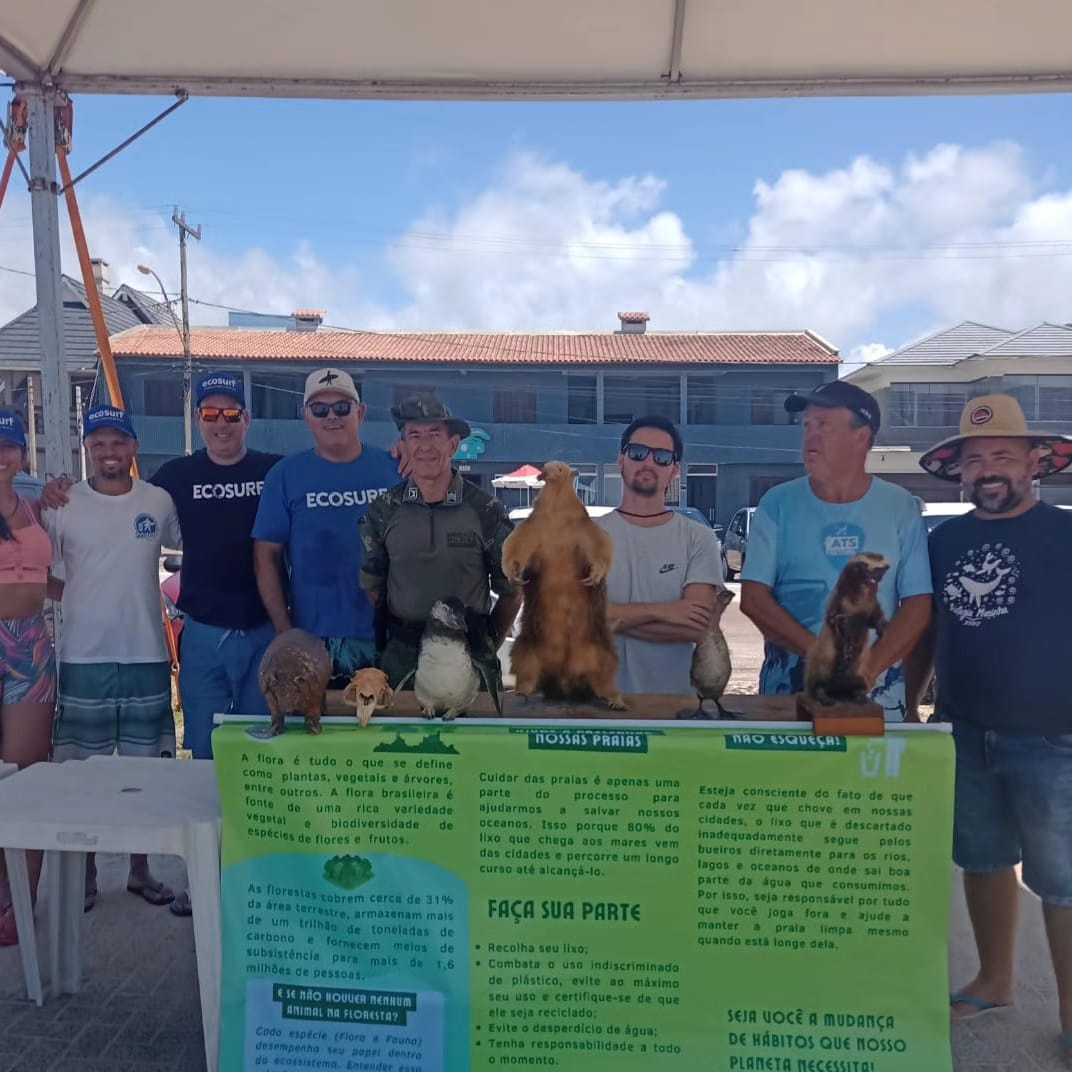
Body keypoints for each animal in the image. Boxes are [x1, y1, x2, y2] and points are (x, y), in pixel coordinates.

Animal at [501, 460, 626, 711]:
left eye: (560, 468)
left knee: (604, 672)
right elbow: (515, 545)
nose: (542, 474)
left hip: (598, 648)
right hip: (529, 644)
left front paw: (593, 576)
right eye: (545, 467)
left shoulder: (584, 528)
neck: (557, 509)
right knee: (525, 665)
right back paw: (523, 690)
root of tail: (565, 679)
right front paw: (515, 574)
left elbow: (600, 547)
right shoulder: (533, 527)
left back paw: (613, 698)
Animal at [806, 548, 887, 707]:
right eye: (874, 571)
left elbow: (875, 617)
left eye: (882, 571)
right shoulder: (839, 603)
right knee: (820, 682)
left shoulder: (869, 608)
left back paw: (857, 694)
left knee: (854, 683)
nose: (878, 578)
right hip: (822, 667)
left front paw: (881, 626)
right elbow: (834, 619)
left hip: (854, 674)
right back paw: (823, 695)